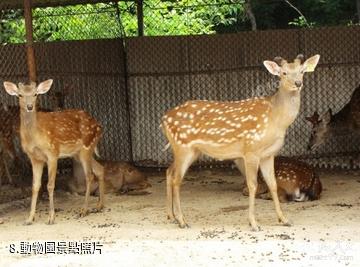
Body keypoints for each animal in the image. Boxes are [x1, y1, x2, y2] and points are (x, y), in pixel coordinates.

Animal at [3, 80, 105, 226]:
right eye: (20, 95)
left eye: (35, 94)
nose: (30, 106)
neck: (34, 137)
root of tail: (99, 125)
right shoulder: (34, 158)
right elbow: (35, 186)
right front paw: (29, 218)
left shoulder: (52, 153)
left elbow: (50, 185)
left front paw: (51, 218)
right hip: (79, 153)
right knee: (100, 169)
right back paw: (99, 205)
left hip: (87, 146)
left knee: (90, 176)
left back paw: (84, 210)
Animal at [162, 54, 320, 230]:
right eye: (283, 73)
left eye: (302, 71)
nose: (298, 83)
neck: (276, 119)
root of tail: (163, 119)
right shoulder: (251, 150)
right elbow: (252, 185)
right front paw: (254, 223)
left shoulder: (268, 155)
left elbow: (272, 184)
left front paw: (284, 219)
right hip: (183, 147)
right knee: (176, 180)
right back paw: (182, 221)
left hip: (187, 150)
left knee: (169, 172)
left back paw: (171, 216)